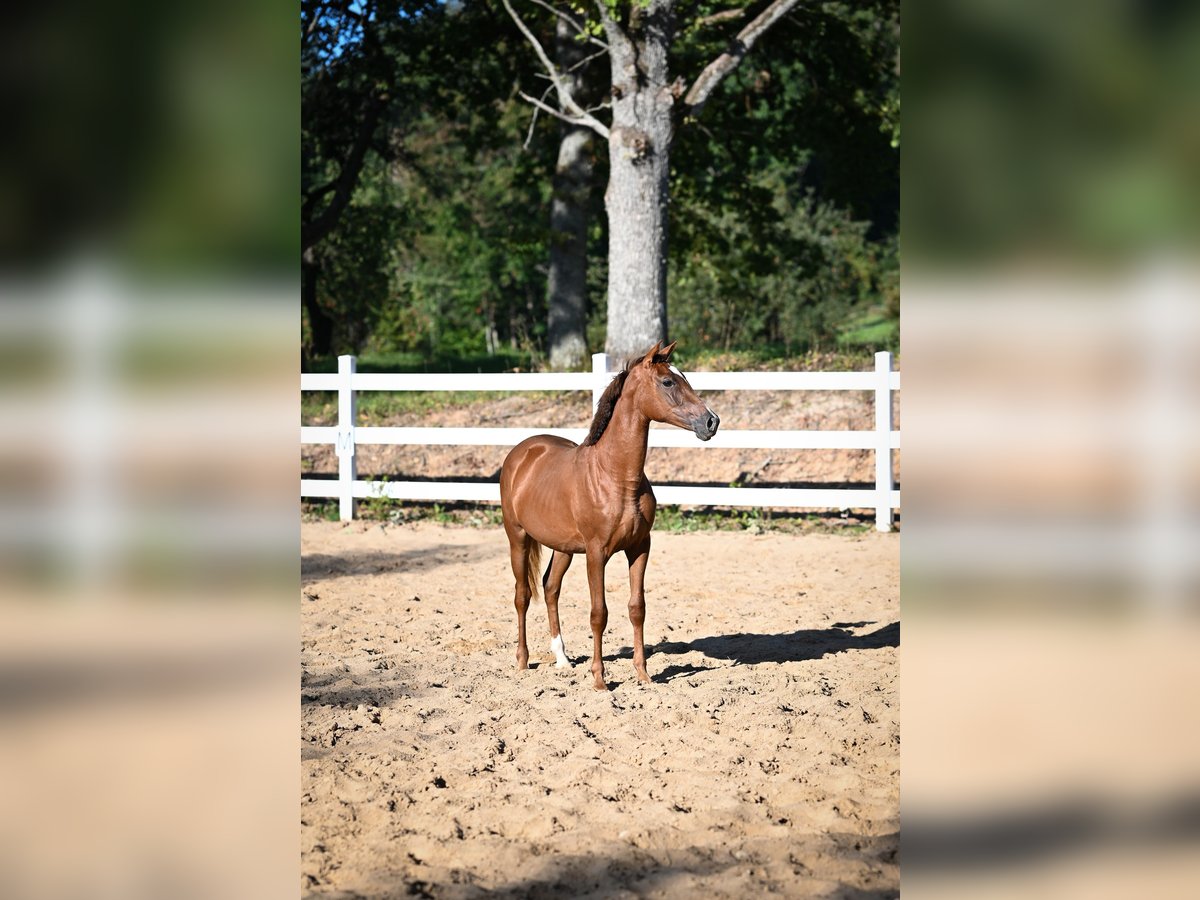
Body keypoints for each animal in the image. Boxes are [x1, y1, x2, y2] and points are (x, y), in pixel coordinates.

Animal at [499, 343, 720, 691]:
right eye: (668, 382)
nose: (711, 422)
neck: (615, 476)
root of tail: (522, 452)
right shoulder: (596, 554)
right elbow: (598, 614)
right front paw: (600, 679)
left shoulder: (640, 548)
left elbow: (637, 608)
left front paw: (643, 674)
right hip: (517, 538)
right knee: (522, 596)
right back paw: (522, 661)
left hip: (563, 548)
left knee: (550, 588)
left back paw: (562, 659)